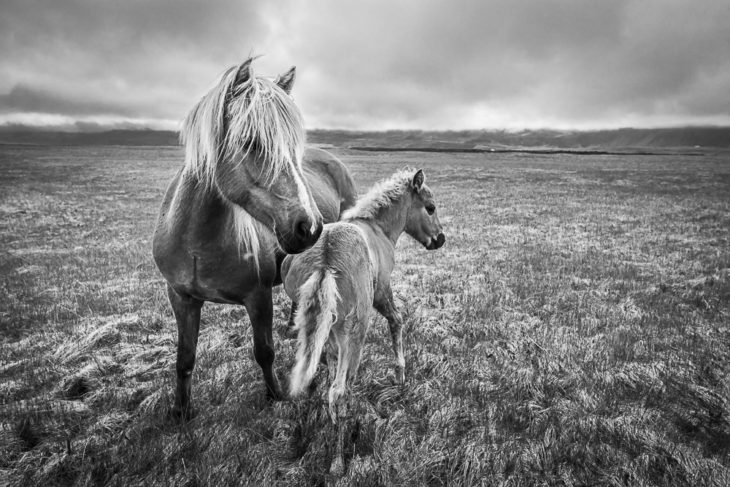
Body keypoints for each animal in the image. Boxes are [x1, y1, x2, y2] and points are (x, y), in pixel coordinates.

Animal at [152, 57, 357, 420]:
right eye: (250, 142)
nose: (310, 227)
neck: (197, 243)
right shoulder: (181, 297)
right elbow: (184, 358)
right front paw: (181, 411)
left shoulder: (257, 297)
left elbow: (264, 352)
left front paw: (276, 396)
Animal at [280, 168, 445, 475]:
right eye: (430, 207)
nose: (440, 239)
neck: (376, 228)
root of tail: (326, 260)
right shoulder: (382, 292)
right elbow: (397, 321)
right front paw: (400, 375)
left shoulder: (330, 334)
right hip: (355, 333)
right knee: (339, 394)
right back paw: (337, 461)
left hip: (324, 329)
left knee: (329, 381)